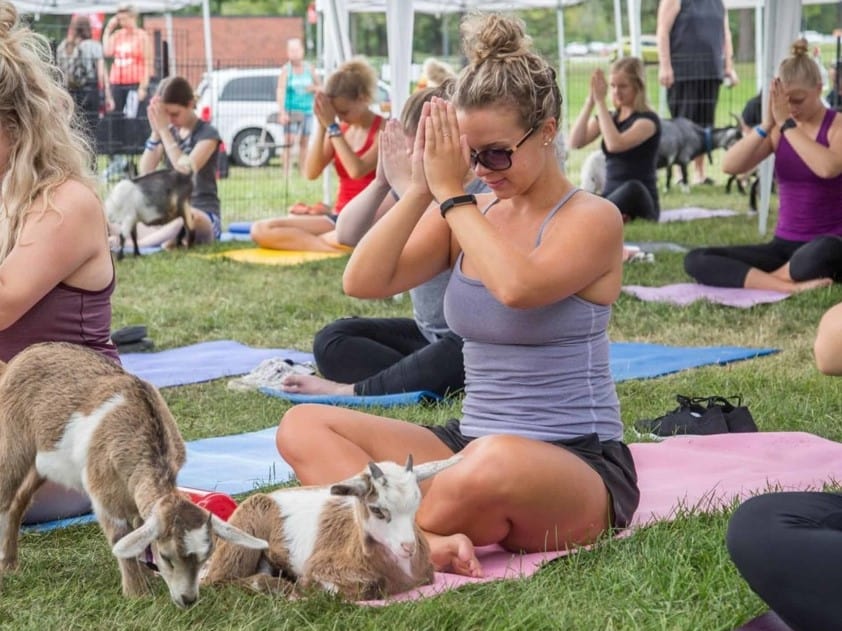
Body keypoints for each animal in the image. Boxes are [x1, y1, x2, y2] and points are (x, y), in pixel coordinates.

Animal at [0, 344, 268, 608]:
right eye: (166, 556)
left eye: (206, 557)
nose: (188, 599)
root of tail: (18, 360)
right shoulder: (104, 494)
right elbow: (120, 536)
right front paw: (137, 593)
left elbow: (139, 532)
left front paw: (148, 576)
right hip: (13, 440)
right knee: (5, 496)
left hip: (41, 463)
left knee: (18, 502)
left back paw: (11, 564)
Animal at [201, 456, 462, 600]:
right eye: (377, 509)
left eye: (417, 505)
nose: (408, 547)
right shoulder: (324, 567)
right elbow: (368, 587)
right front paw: (306, 587)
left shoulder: (426, 574)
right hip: (240, 541)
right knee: (216, 581)